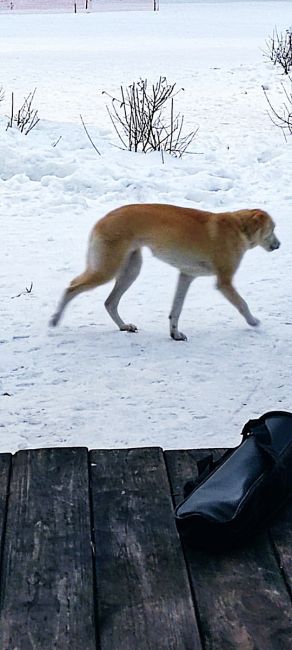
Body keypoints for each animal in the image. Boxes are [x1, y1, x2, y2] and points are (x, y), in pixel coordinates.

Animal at [50, 204, 280, 340]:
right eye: (273, 228)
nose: (279, 245)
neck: (240, 227)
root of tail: (103, 219)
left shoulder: (186, 276)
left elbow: (175, 310)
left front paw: (175, 334)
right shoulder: (224, 282)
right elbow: (242, 304)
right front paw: (253, 321)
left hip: (130, 270)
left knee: (110, 302)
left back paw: (124, 326)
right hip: (107, 270)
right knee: (71, 288)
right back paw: (55, 319)